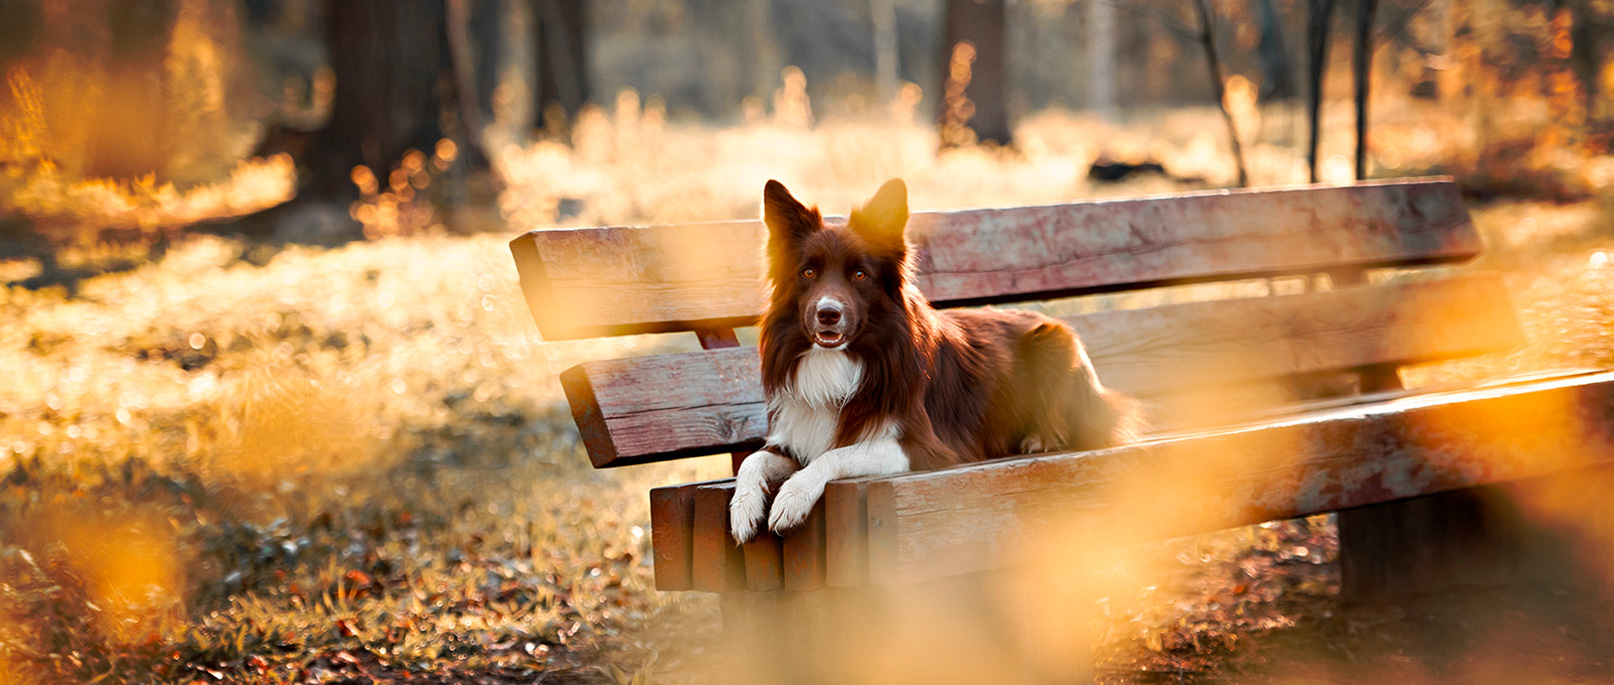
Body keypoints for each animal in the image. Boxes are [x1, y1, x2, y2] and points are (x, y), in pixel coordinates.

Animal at [726, 179, 1142, 542]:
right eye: (808, 272)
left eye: (859, 274)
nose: (828, 314)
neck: (847, 360)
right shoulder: (794, 437)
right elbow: (752, 461)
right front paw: (743, 508)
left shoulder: (923, 447)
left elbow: (833, 455)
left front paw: (793, 497)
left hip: (1054, 339)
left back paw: (1040, 438)